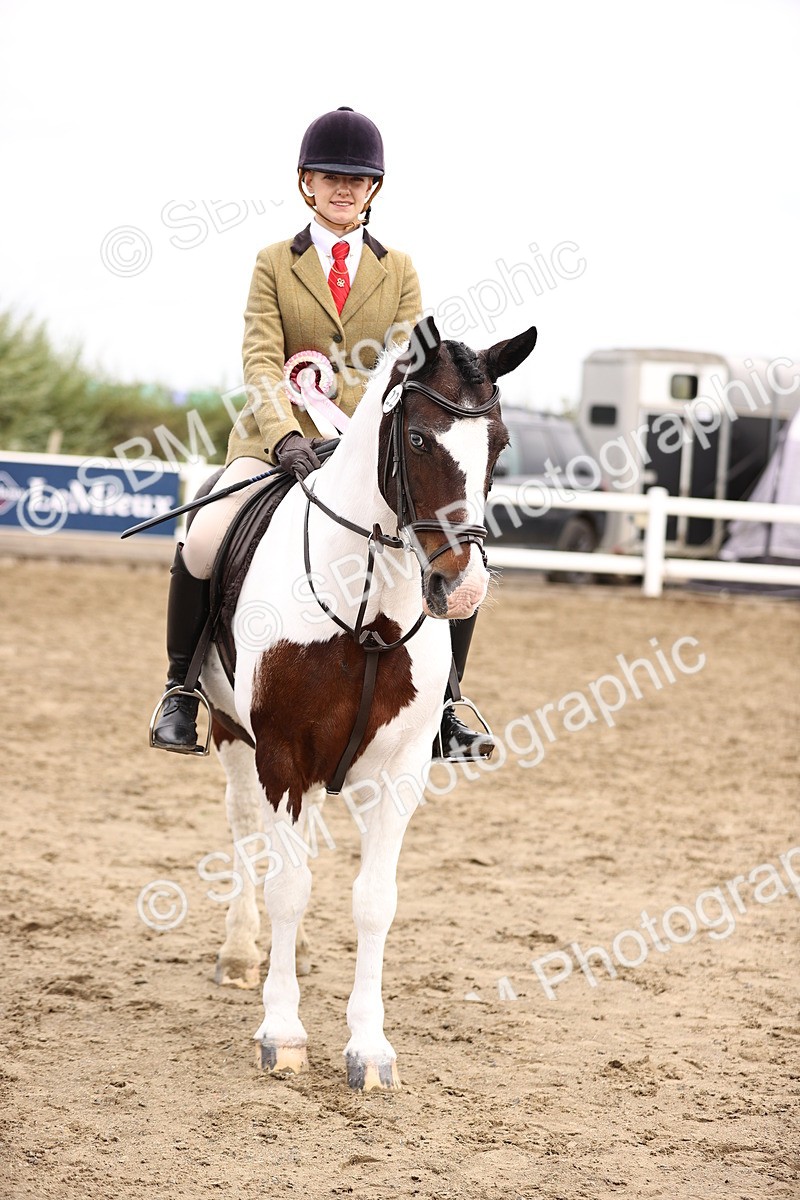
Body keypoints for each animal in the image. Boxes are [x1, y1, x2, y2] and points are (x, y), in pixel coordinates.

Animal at [199, 314, 537, 1091]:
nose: (461, 590)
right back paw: (241, 954)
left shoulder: (401, 769)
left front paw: (369, 1047)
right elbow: (288, 887)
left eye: (499, 443)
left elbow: (374, 902)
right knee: (247, 831)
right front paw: (283, 1032)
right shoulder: (281, 752)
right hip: (231, 731)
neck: (367, 612)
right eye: (416, 439)